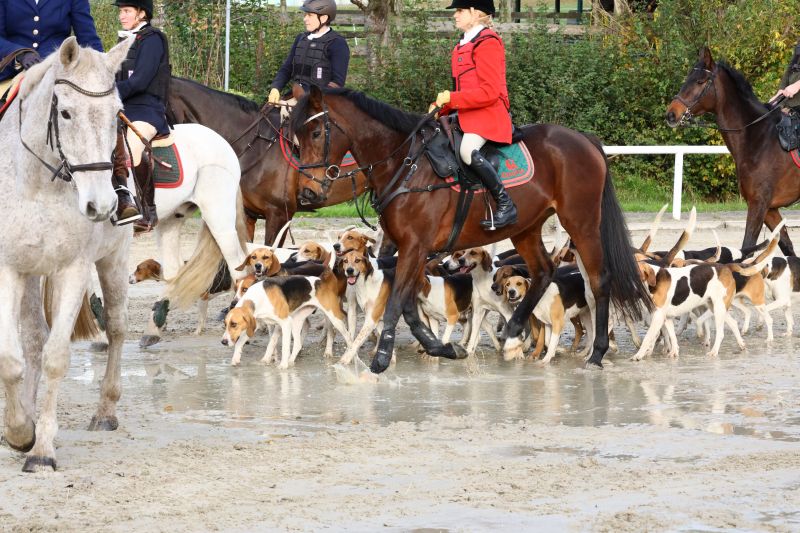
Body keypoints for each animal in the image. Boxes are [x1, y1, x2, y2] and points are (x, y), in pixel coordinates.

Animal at [0, 37, 133, 472]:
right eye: (65, 112)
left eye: (116, 117)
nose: (101, 204)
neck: (40, 184)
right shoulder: (8, 268)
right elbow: (11, 357)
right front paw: (19, 430)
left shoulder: (73, 269)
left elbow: (56, 356)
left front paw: (41, 448)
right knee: (31, 339)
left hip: (114, 259)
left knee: (117, 328)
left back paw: (105, 411)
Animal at [288, 85, 650, 374]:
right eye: (295, 140)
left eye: (316, 133)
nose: (307, 193)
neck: (405, 165)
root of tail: (582, 139)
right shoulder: (408, 247)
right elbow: (408, 306)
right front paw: (441, 347)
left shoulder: (415, 245)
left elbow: (396, 304)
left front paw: (380, 359)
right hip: (527, 227)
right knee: (543, 271)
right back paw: (512, 334)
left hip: (582, 222)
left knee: (599, 280)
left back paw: (597, 352)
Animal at [666, 47, 800, 256]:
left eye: (700, 81)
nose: (671, 114)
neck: (758, 137)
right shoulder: (769, 209)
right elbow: (787, 247)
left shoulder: (758, 204)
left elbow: (747, 247)